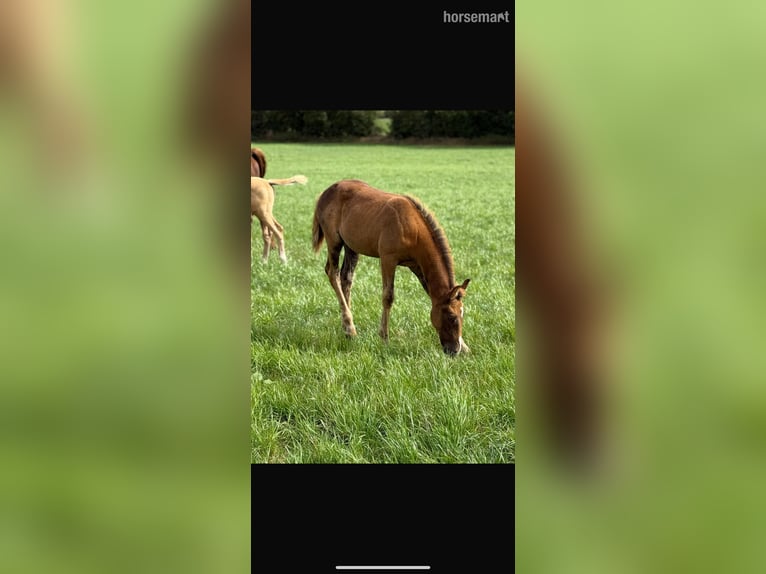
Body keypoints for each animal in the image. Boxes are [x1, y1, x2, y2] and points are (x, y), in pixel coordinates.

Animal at [311, 179, 471, 356]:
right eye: (451, 316)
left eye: (462, 314)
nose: (454, 350)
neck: (413, 227)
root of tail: (326, 193)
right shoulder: (388, 259)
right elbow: (388, 296)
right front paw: (384, 338)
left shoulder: (416, 265)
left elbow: (431, 293)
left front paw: (465, 347)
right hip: (334, 240)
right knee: (333, 273)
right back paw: (350, 327)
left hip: (351, 246)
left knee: (346, 278)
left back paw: (346, 329)